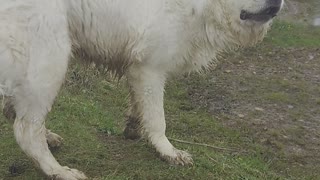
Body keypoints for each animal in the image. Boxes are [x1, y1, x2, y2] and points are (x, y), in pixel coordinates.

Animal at [1, 0, 282, 179]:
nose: (276, 1)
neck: (202, 7)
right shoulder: (150, 68)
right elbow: (158, 119)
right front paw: (167, 151)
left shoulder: (137, 69)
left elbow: (139, 107)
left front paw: (134, 128)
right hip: (50, 60)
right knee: (26, 130)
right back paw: (57, 170)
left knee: (18, 114)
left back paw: (48, 137)